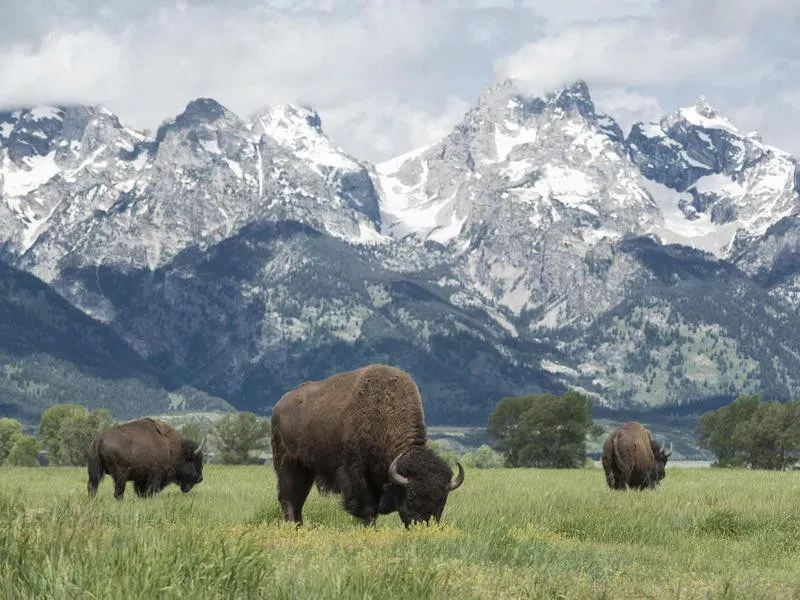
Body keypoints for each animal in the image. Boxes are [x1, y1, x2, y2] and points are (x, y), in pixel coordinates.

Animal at [272, 364, 466, 528]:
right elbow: (368, 508)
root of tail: (279, 406)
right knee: (288, 497)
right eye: (411, 496)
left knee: (298, 498)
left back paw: (298, 526)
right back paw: (292, 526)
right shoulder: (357, 473)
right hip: (288, 465)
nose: (422, 525)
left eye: (442, 501)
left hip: (306, 470)